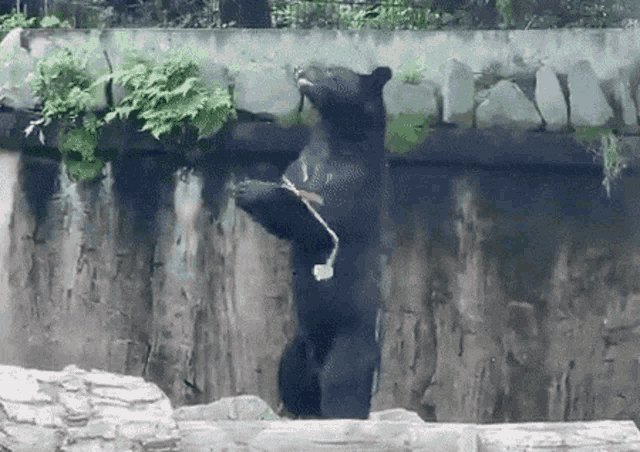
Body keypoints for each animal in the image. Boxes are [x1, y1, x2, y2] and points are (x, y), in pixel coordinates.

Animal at [235, 63, 392, 419]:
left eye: (333, 72)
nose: (303, 69)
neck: (336, 137)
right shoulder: (303, 162)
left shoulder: (354, 179)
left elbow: (320, 220)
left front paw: (252, 189)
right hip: (298, 346)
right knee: (290, 374)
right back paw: (299, 409)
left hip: (351, 339)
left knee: (342, 382)